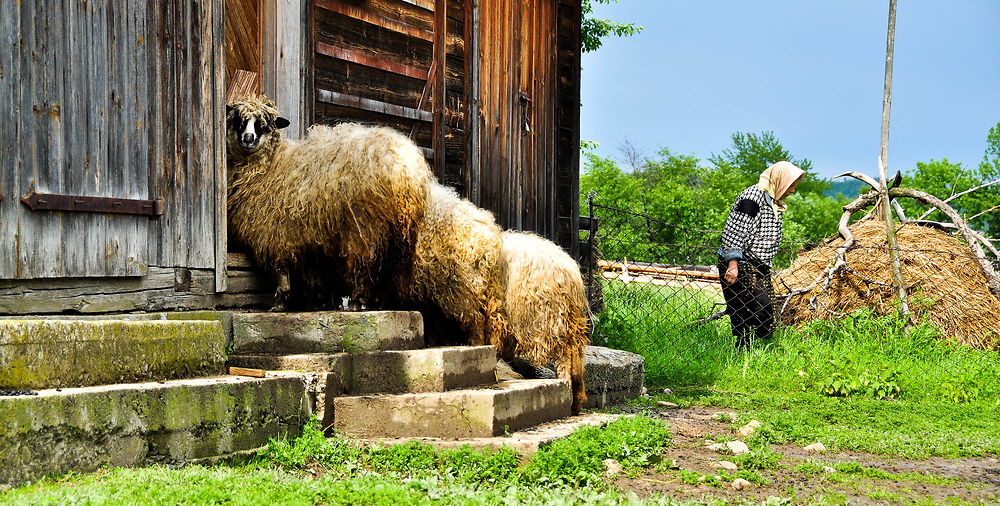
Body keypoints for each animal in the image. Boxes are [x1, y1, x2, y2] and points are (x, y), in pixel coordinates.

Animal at [227, 94, 430, 308]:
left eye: (264, 125)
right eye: (238, 120)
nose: (248, 139)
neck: (268, 167)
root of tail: (406, 167)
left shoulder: (275, 231)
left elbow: (281, 269)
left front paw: (279, 302)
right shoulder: (306, 235)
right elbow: (313, 271)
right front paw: (320, 300)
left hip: (365, 226)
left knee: (365, 261)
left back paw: (357, 301)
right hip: (401, 232)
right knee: (390, 268)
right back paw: (378, 303)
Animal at [498, 231, 588, 414]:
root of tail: (569, 270)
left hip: (546, 316)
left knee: (563, 357)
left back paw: (566, 391)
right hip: (569, 318)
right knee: (576, 357)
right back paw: (576, 402)